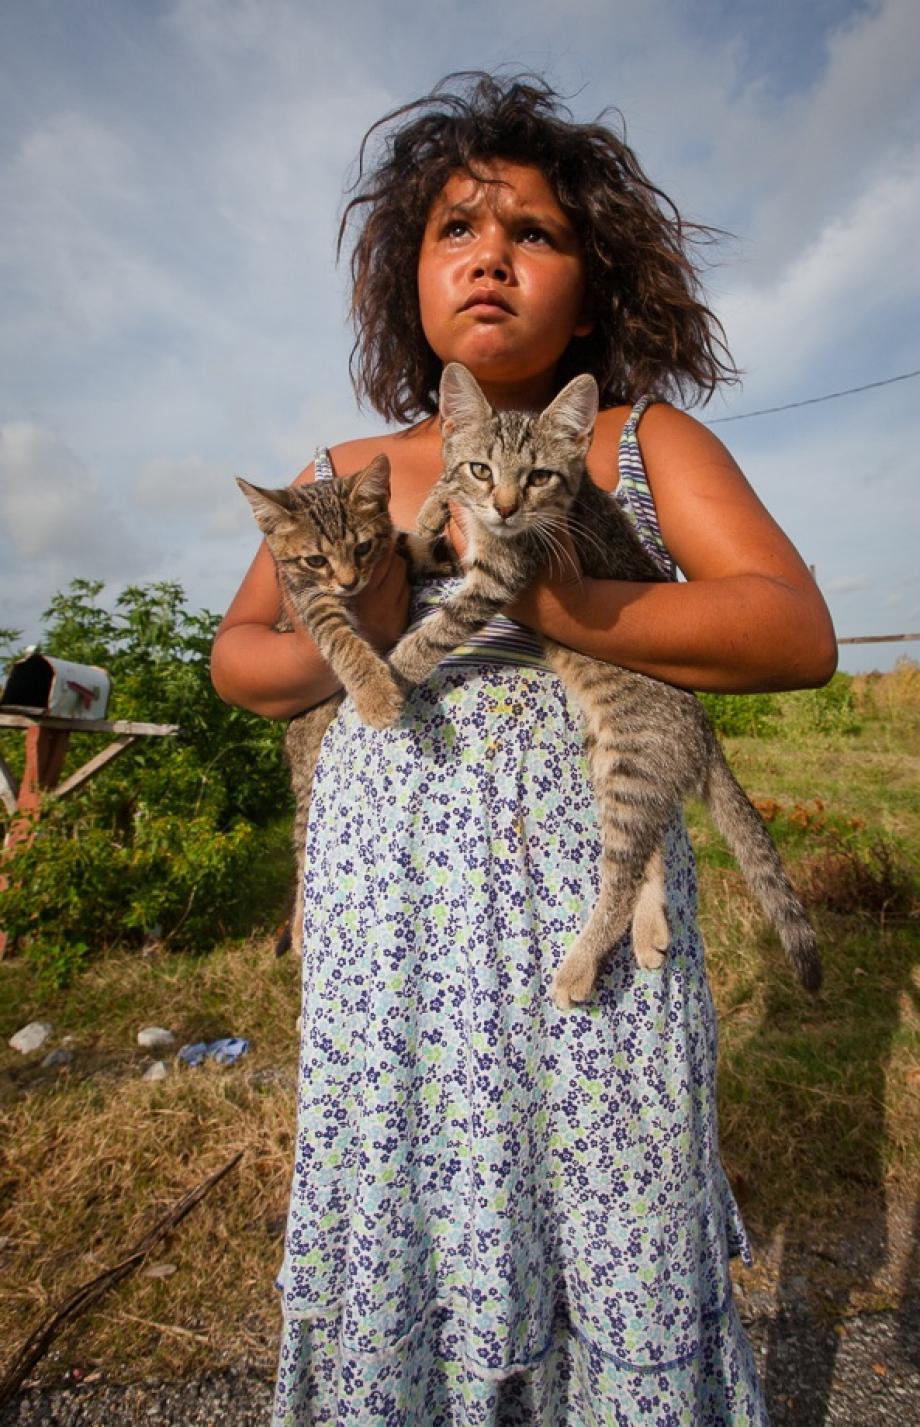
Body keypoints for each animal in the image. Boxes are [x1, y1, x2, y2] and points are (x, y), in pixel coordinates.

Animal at [235, 450, 453, 953]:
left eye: (362, 548)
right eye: (316, 559)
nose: (351, 582)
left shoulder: (393, 553)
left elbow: (412, 542)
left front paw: (433, 515)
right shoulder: (310, 601)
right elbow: (342, 641)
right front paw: (374, 695)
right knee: (302, 851)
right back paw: (299, 931)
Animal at [379, 368, 815, 1016]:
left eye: (538, 477)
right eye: (483, 468)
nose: (504, 507)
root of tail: (703, 726)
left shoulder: (502, 578)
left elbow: (442, 626)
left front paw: (388, 674)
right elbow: (436, 515)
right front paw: (432, 508)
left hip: (631, 764)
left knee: (622, 875)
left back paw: (579, 968)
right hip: (611, 760)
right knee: (648, 849)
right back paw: (651, 932)